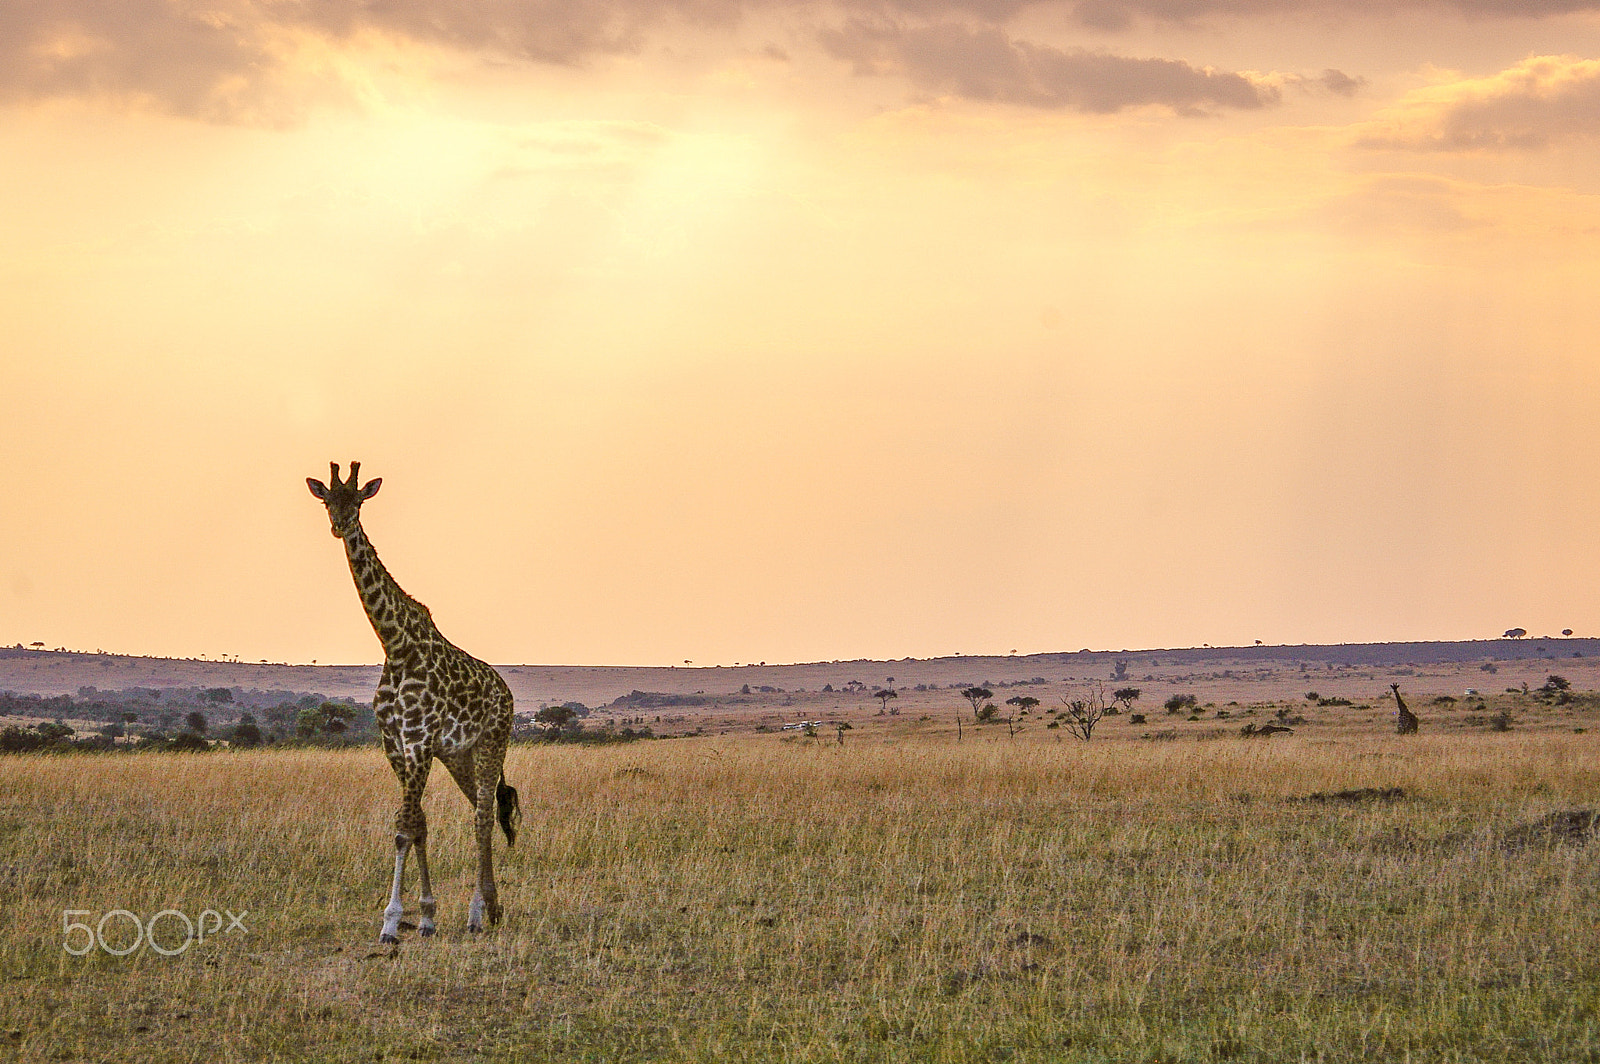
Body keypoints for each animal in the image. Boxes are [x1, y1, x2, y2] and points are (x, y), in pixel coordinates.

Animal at [305, 460, 518, 940]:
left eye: (358, 501)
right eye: (328, 501)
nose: (339, 525)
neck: (395, 644)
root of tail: (506, 692)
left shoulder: (419, 741)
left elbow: (404, 828)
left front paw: (391, 922)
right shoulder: (395, 744)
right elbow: (417, 824)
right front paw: (425, 916)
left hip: (490, 745)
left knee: (481, 819)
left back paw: (479, 913)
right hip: (459, 755)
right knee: (482, 812)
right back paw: (492, 908)